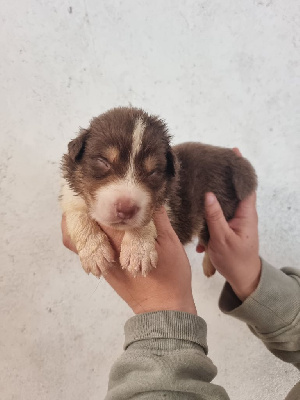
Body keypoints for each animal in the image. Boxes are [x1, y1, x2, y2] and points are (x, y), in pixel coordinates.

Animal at [61, 108, 258, 280]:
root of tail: (232, 159)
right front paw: (95, 253)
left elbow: (147, 218)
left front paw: (139, 252)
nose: (126, 209)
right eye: (103, 161)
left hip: (221, 210)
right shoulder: (70, 198)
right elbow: (78, 218)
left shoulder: (162, 203)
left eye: (153, 172)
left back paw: (208, 266)